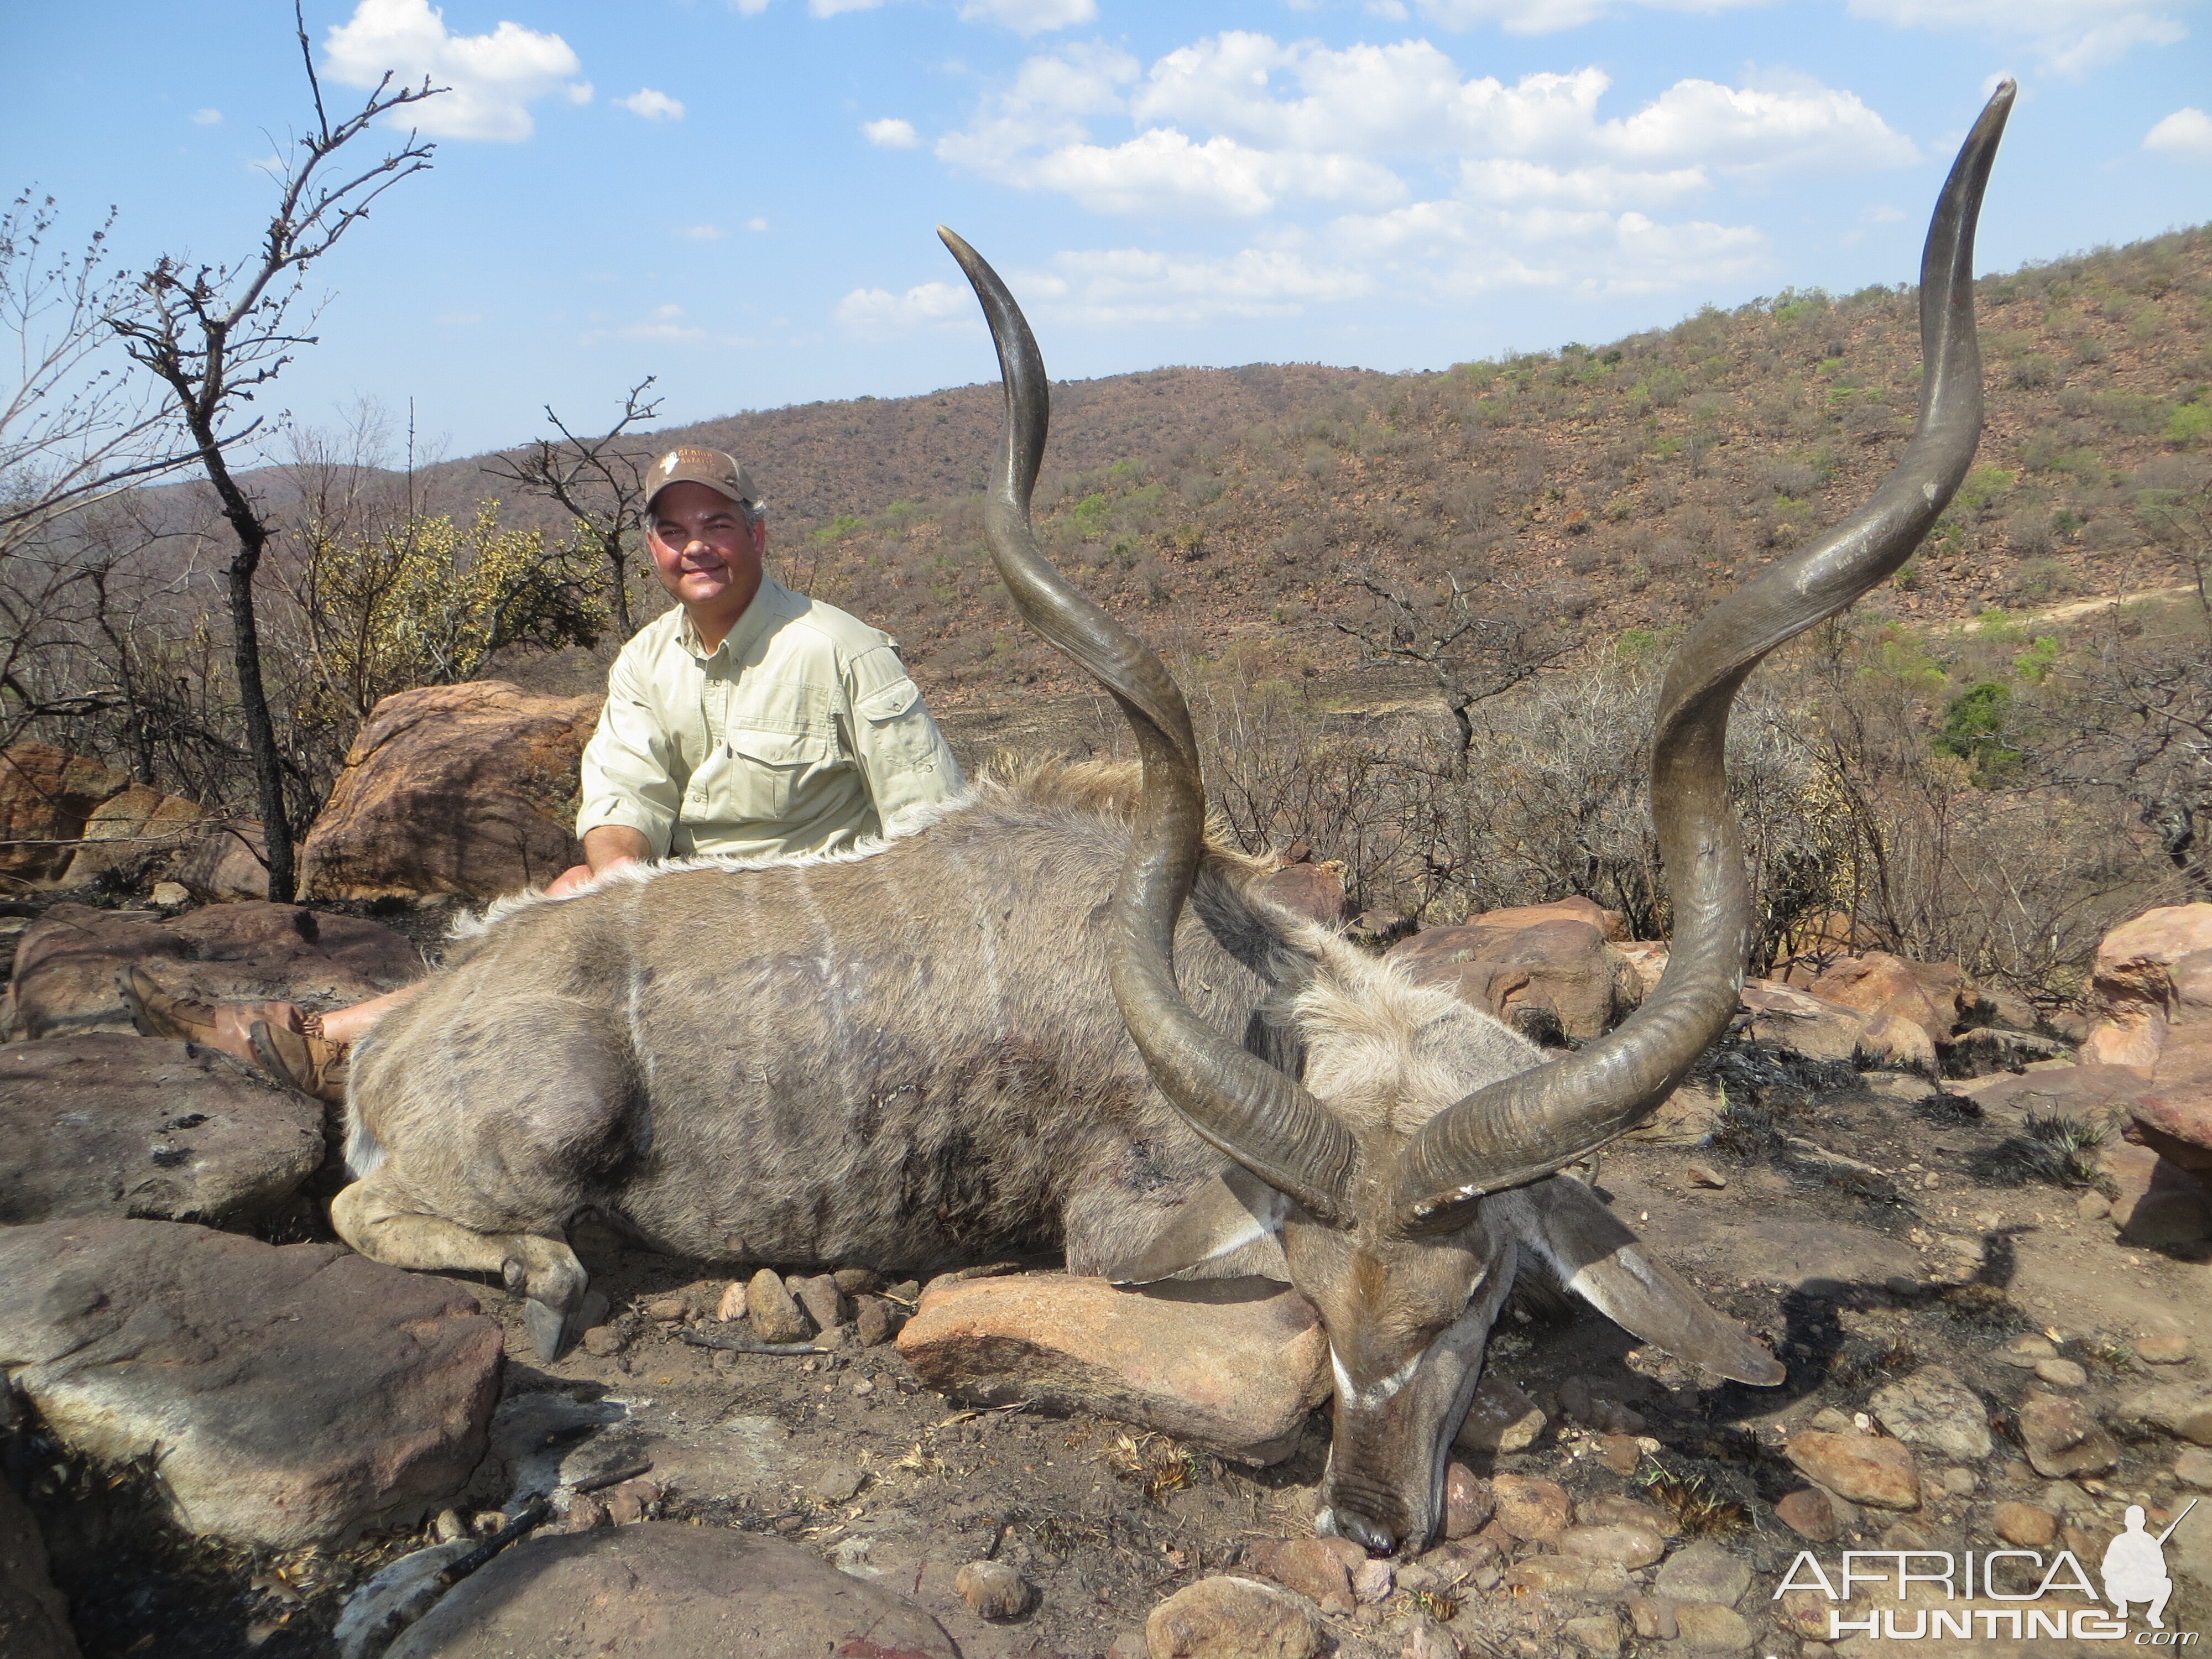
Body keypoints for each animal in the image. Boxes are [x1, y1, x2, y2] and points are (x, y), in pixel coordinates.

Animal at [336, 88, 2017, 1548]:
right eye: (1327, 1307)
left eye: (1461, 1303)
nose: (1369, 1521)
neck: (1256, 993)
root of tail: (398, 1035)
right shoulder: (1126, 1219)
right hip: (547, 1135)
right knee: (395, 1211)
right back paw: (544, 1274)